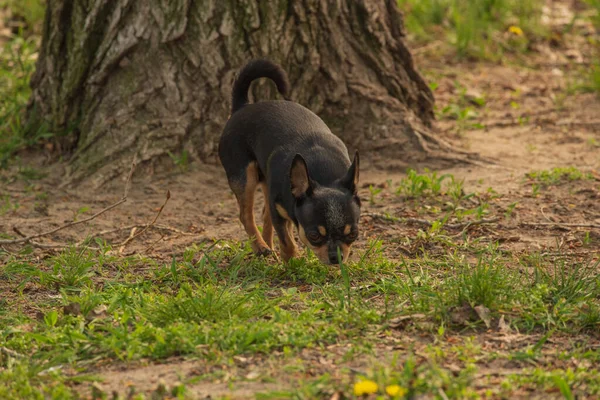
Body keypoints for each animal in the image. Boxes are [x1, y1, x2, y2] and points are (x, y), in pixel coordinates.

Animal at [220, 59, 360, 266]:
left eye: (353, 234)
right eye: (314, 236)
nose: (337, 258)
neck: (322, 175)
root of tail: (242, 106)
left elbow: (281, 229)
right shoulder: (279, 210)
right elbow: (286, 239)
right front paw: (292, 260)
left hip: (264, 181)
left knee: (264, 215)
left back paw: (268, 245)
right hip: (244, 177)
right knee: (246, 216)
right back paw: (261, 247)